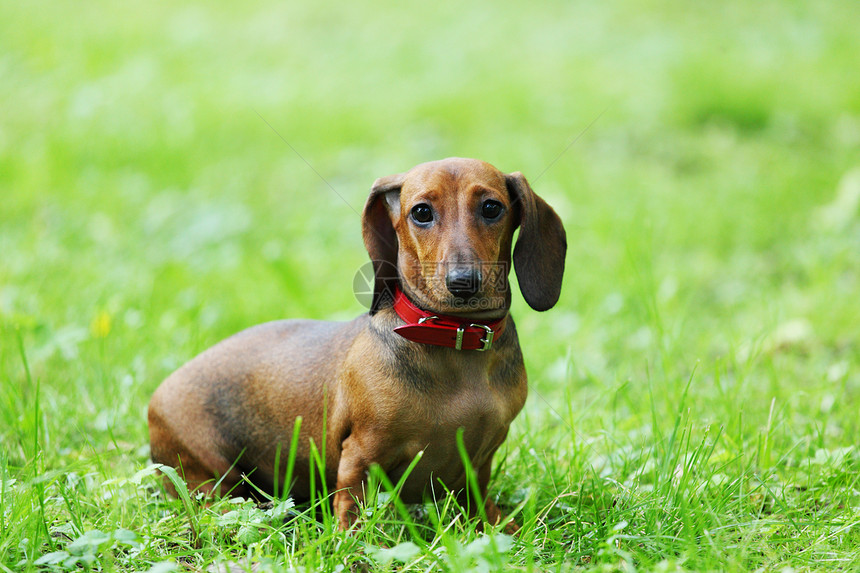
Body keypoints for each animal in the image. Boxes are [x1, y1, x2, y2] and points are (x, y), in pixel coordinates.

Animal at [148, 158, 564, 532]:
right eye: (421, 212)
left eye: (492, 207)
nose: (463, 282)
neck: (454, 337)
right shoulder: (360, 453)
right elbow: (352, 507)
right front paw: (356, 548)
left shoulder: (480, 462)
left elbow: (478, 504)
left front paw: (503, 528)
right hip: (209, 471)